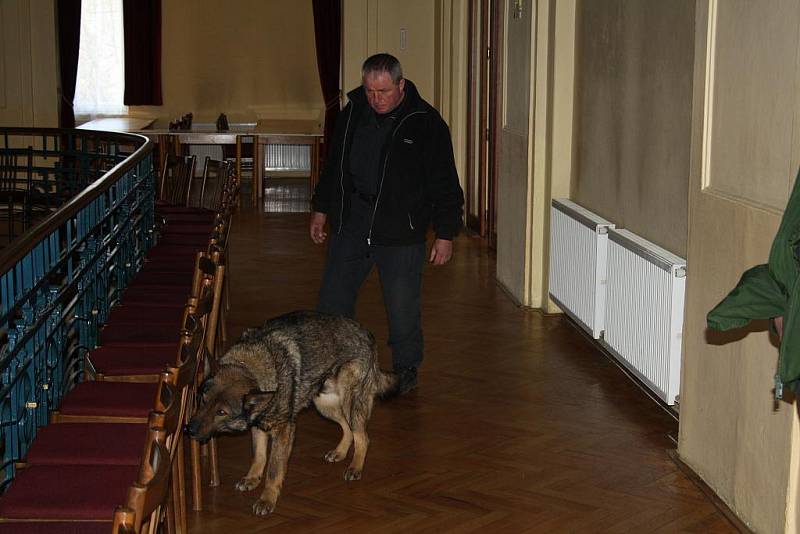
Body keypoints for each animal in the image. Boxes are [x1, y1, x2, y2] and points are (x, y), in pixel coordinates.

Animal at [186, 312, 400, 516]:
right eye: (203, 399)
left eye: (221, 412)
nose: (188, 429)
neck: (251, 368)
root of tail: (367, 334)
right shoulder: (258, 426)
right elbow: (259, 457)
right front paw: (252, 479)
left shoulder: (283, 431)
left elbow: (273, 470)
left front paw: (267, 500)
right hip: (324, 404)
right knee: (348, 429)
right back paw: (340, 452)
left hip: (350, 403)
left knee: (362, 437)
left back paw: (356, 467)